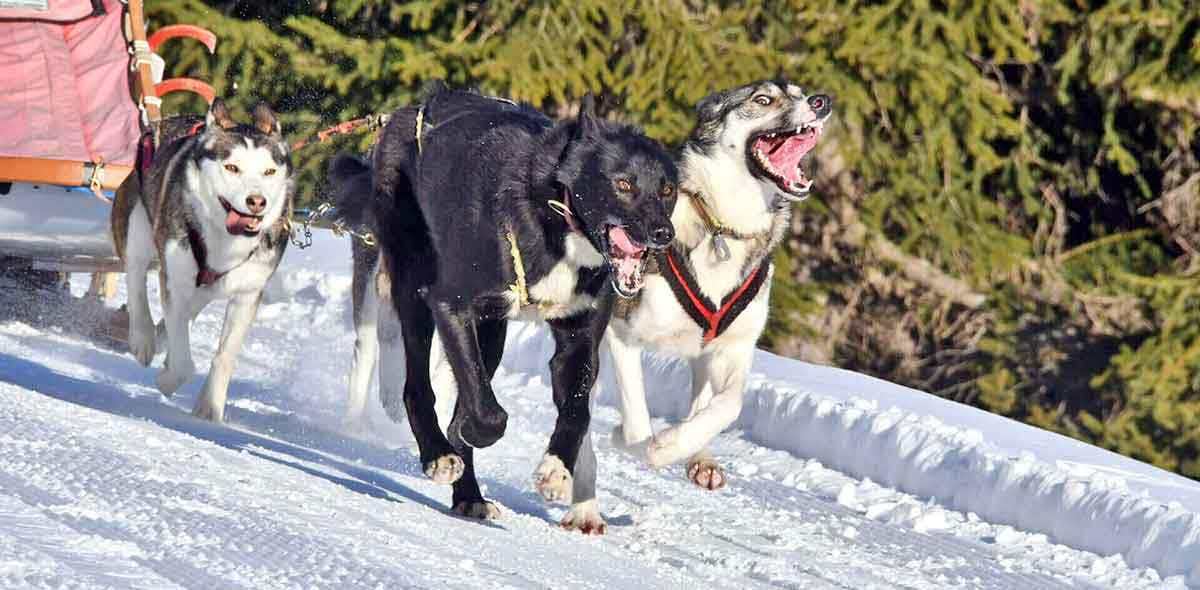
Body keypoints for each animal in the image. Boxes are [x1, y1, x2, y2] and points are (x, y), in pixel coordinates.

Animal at [350, 87, 681, 520]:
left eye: (667, 190)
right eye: (623, 183)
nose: (663, 233)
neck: (554, 216)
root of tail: (414, 108)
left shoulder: (578, 338)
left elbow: (577, 410)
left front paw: (557, 470)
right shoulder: (451, 304)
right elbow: (487, 413)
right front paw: (471, 432)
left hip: (491, 330)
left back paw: (470, 496)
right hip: (414, 287)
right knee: (418, 385)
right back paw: (439, 453)